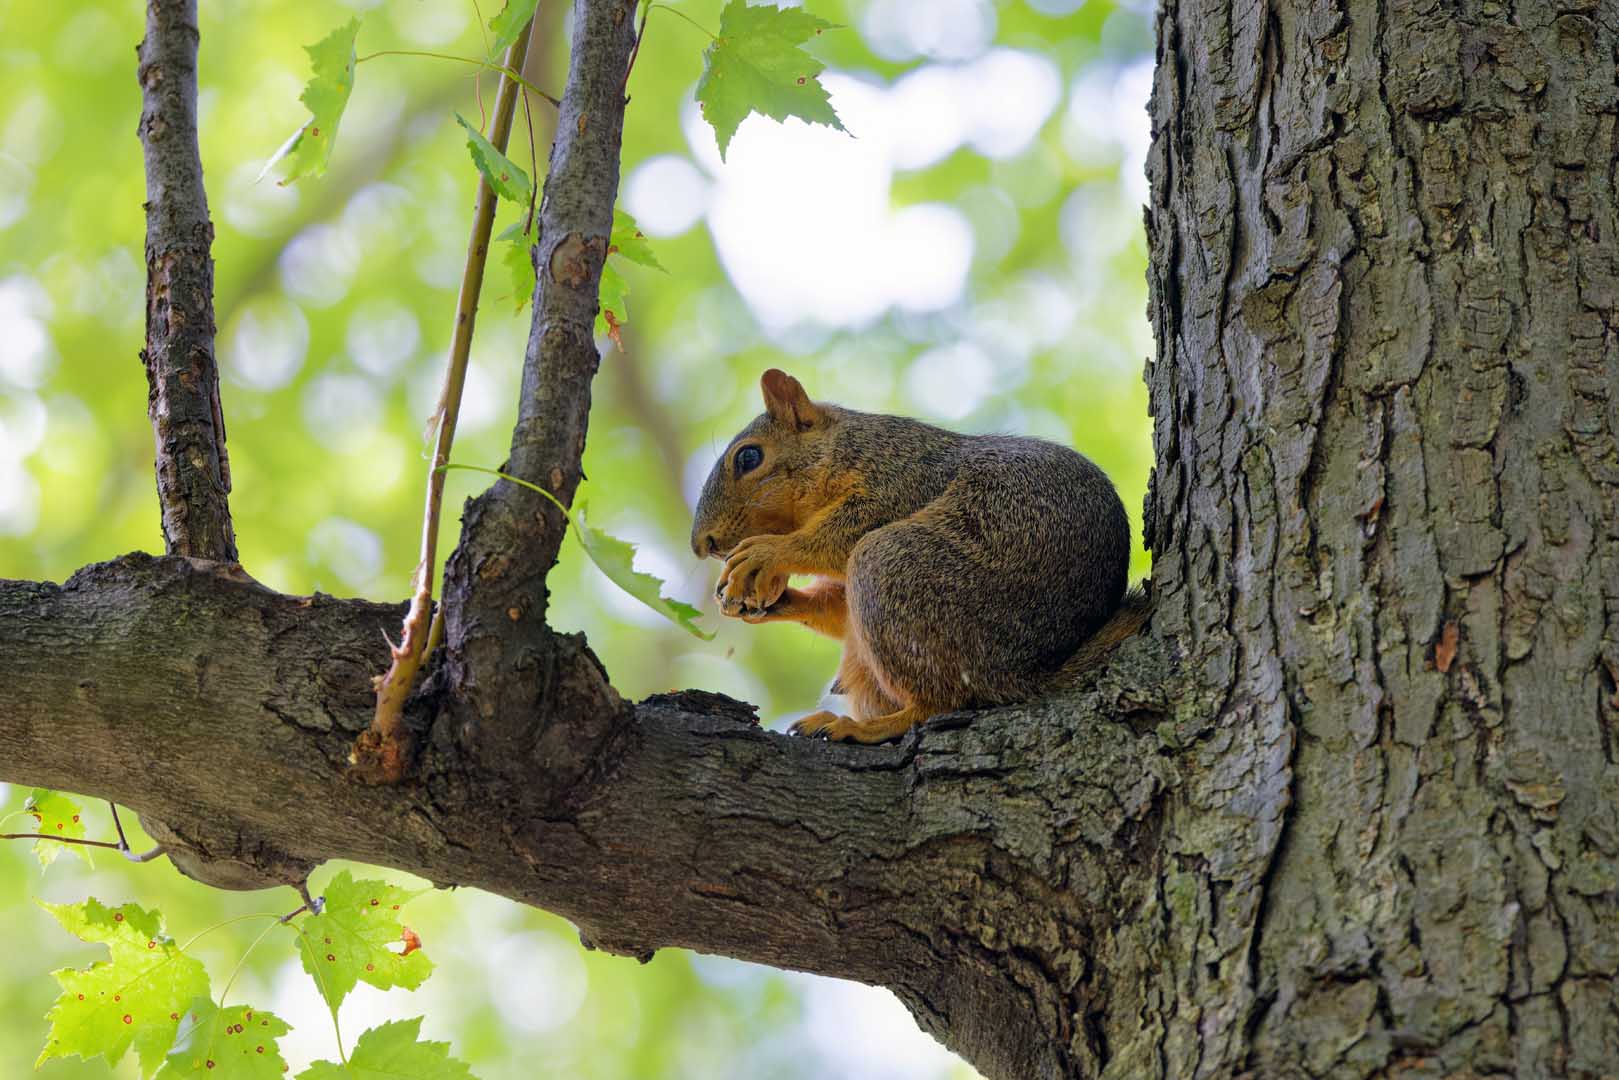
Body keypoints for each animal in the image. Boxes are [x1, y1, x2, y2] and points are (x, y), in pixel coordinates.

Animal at [690, 369, 1147, 744]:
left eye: (749, 457)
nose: (702, 544)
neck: (847, 448)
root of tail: (1024, 672)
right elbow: (838, 610)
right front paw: (765, 601)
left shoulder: (899, 484)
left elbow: (840, 537)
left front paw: (769, 552)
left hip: (896, 567)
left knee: (942, 702)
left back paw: (862, 727)